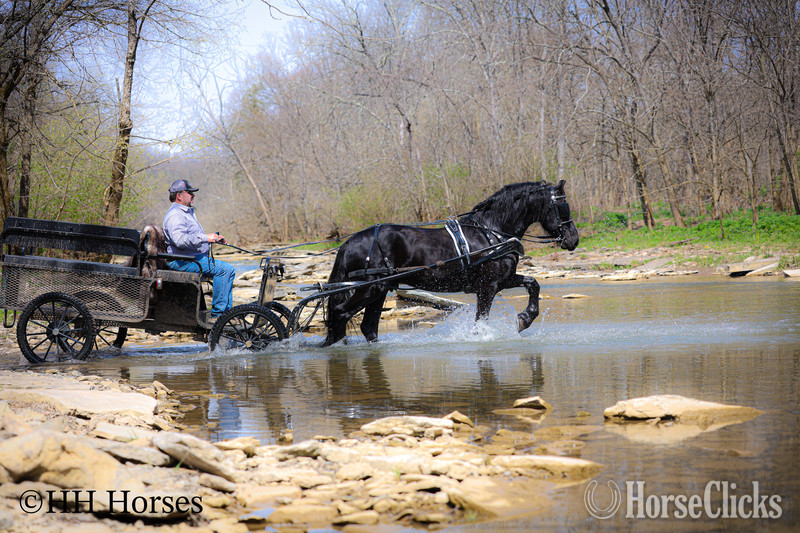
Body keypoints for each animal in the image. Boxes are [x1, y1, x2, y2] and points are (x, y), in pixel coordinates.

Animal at [322, 179, 579, 346]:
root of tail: (349, 242)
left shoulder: (502, 280)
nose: (573, 238)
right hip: (370, 289)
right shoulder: (487, 287)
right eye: (561, 206)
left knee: (368, 326)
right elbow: (480, 321)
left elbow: (533, 283)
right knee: (340, 314)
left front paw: (524, 319)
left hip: (380, 290)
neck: (492, 232)